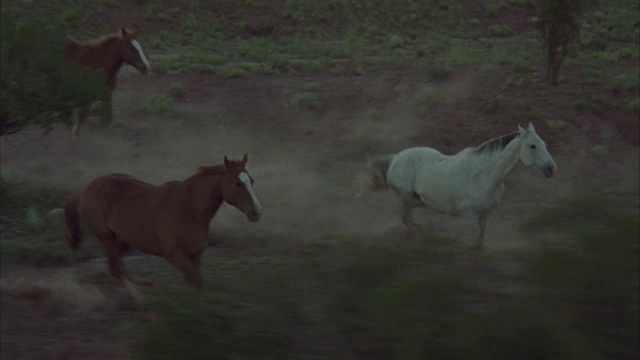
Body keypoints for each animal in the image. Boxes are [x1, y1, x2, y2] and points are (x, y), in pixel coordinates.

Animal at [60, 153, 260, 306]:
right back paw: (140, 301)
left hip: (126, 240)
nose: (256, 212)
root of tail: (85, 189)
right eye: (238, 183)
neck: (189, 208)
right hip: (106, 237)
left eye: (251, 180)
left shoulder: (196, 255)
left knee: (117, 265)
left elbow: (195, 282)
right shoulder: (173, 255)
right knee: (115, 268)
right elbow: (195, 281)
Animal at [364, 124, 556, 248]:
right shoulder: (468, 215)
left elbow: (480, 238)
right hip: (404, 198)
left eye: (544, 144)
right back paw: (419, 236)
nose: (551, 168)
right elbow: (472, 238)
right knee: (405, 219)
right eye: (532, 146)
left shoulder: (484, 214)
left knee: (407, 218)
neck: (484, 175)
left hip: (415, 201)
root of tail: (395, 158)